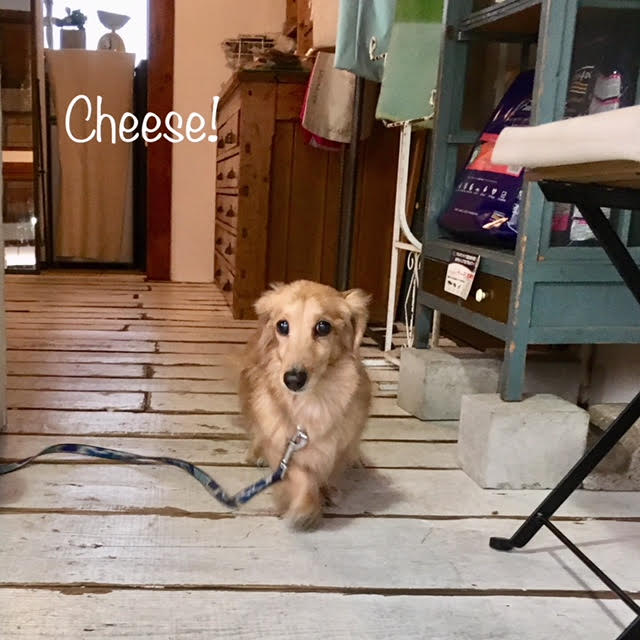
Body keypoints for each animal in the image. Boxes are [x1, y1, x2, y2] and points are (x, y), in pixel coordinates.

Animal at [238, 280, 372, 530]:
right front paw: (304, 507)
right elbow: (302, 477)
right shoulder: (285, 445)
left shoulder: (340, 443)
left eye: (323, 327)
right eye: (282, 325)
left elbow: (331, 468)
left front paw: (327, 490)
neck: (313, 402)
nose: (292, 379)